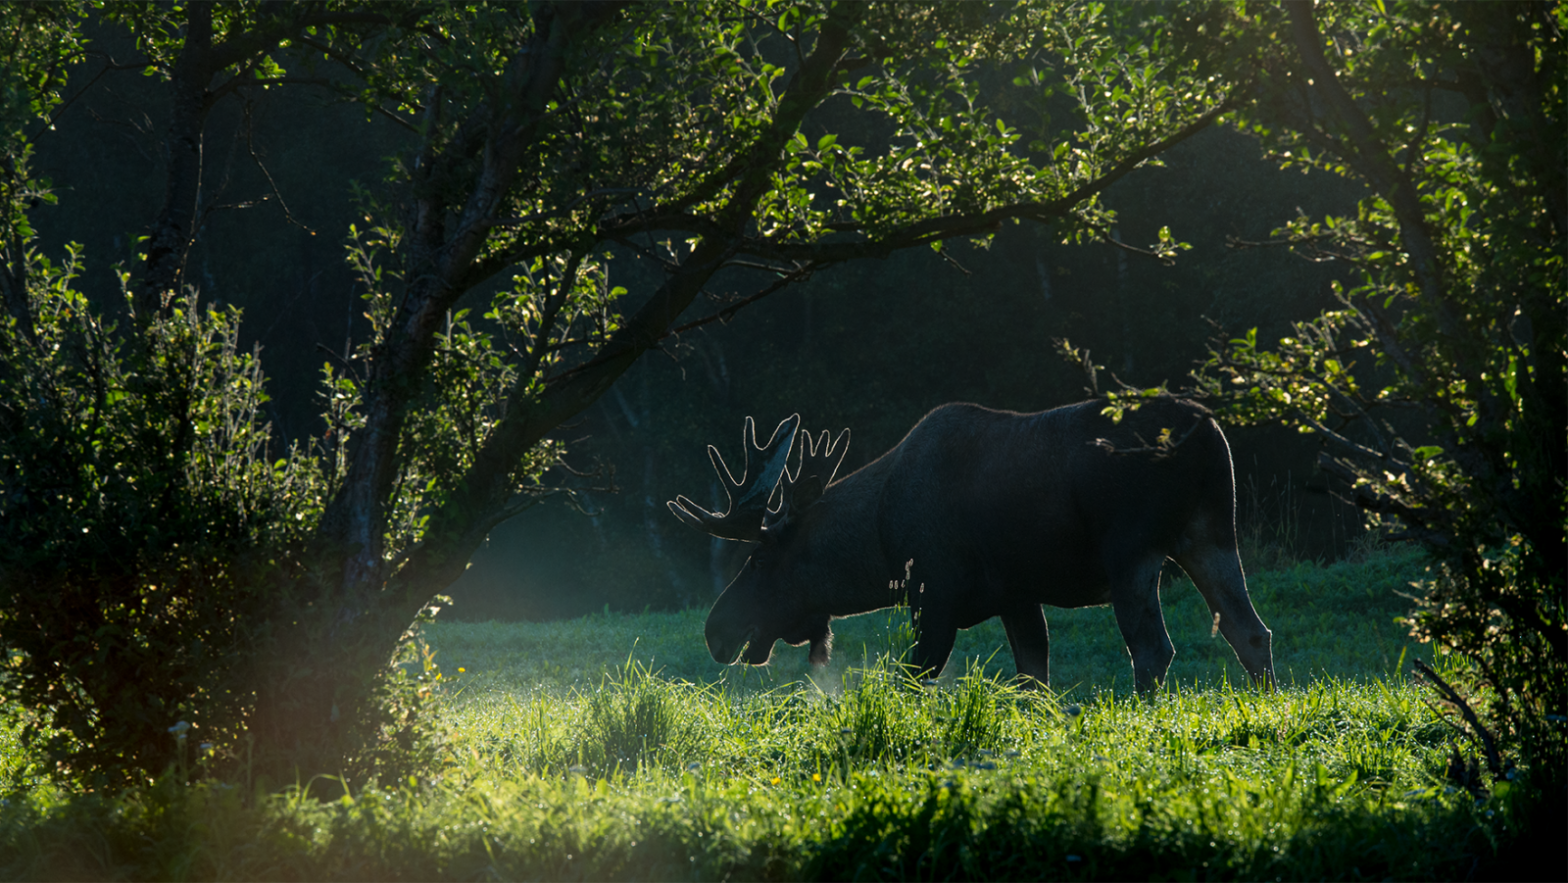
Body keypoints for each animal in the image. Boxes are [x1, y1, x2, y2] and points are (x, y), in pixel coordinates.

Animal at [671, 396, 1273, 693]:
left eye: (759, 558)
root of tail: (1207, 432)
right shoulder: (1017, 596)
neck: (878, 544)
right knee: (1251, 632)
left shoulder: (934, 597)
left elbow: (911, 681)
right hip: (1211, 535)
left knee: (1153, 648)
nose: (714, 631)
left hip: (1132, 550)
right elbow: (1033, 679)